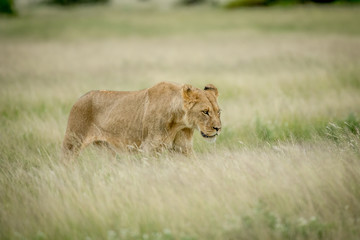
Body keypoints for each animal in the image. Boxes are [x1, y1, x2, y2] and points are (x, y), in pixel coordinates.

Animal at [62, 81, 221, 158]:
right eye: (205, 112)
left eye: (218, 112)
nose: (218, 128)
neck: (179, 123)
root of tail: (79, 98)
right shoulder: (150, 148)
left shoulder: (184, 148)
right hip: (72, 143)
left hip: (107, 150)